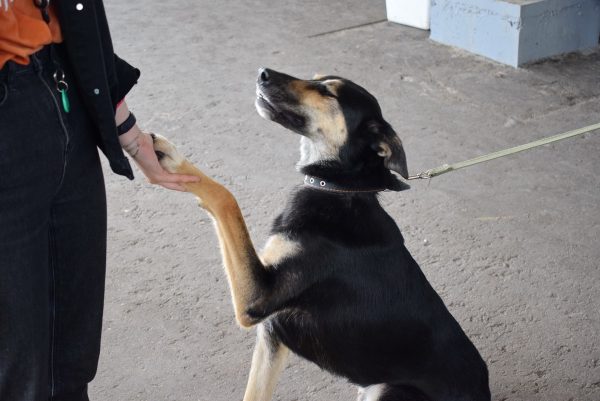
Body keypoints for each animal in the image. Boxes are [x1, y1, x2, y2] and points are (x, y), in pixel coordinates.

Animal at [152, 69, 490, 400]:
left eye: (328, 92)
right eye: (315, 78)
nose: (263, 72)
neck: (337, 189)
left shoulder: (257, 298)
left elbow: (226, 198)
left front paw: (175, 160)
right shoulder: (271, 336)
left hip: (388, 390)